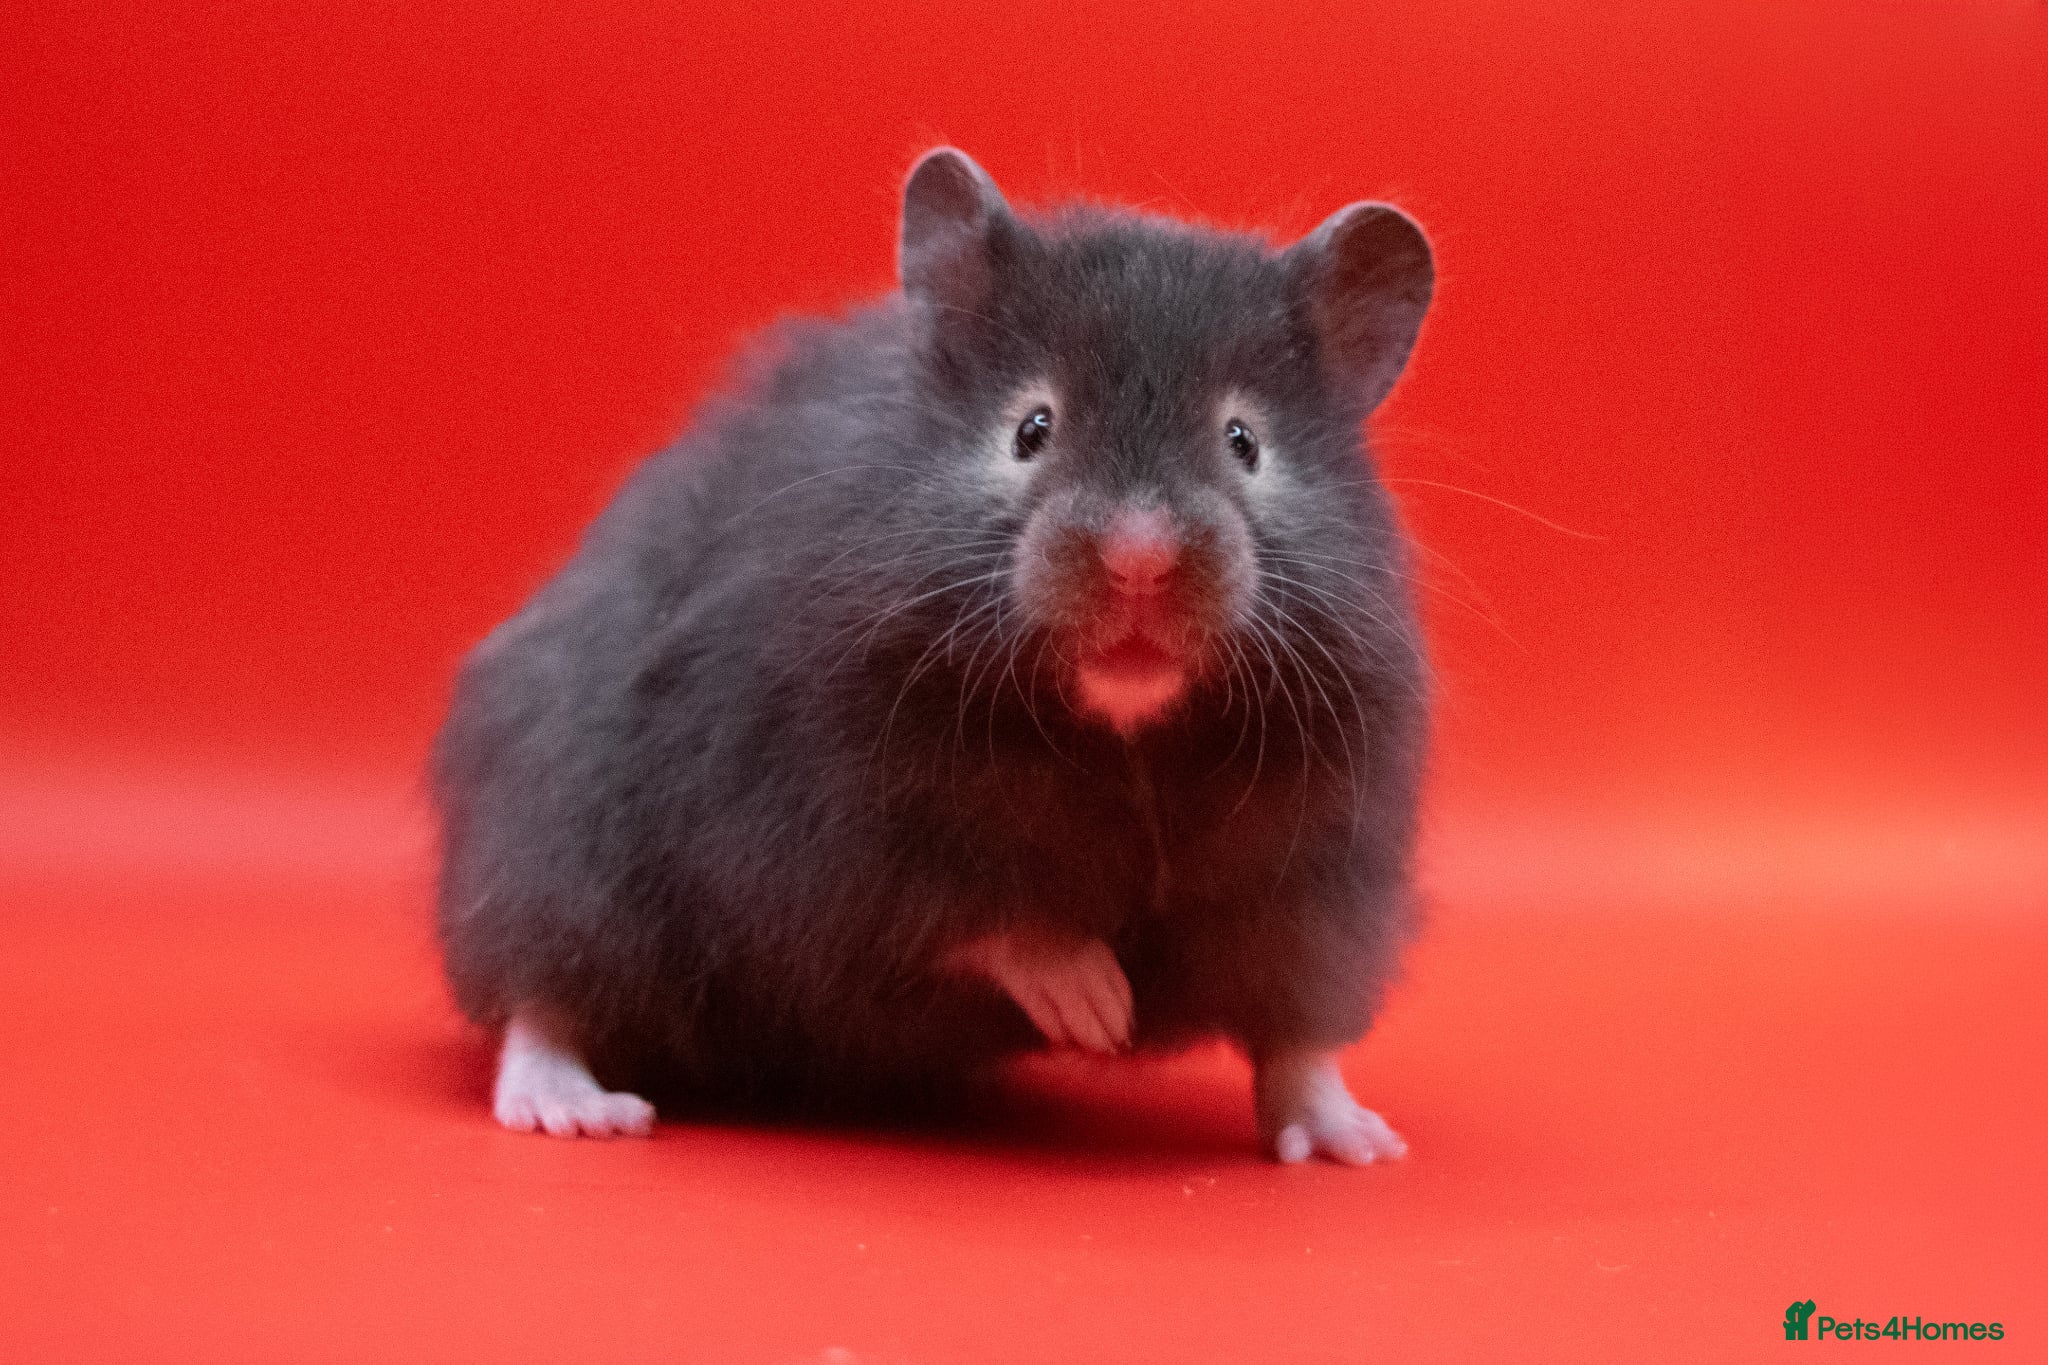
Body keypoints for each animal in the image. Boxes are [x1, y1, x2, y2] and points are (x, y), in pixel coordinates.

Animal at [432, 148, 1434, 1164]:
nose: (1139, 558)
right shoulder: (829, 824)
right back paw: (581, 1110)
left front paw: (1359, 1145)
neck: (1127, 732)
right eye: (1032, 428)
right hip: (556, 844)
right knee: (542, 991)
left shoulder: (1317, 873)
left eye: (1244, 442)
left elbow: (1298, 1036)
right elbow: (987, 914)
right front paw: (1098, 1007)